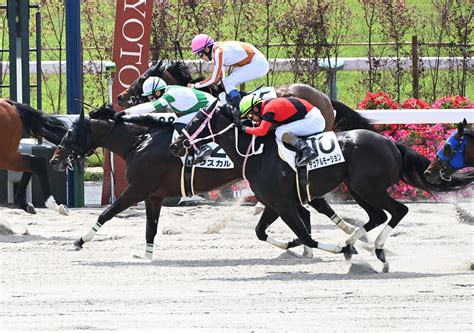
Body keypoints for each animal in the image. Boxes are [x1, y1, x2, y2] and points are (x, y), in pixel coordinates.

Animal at [51, 105, 356, 258]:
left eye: (69, 134)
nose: (54, 159)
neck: (141, 141)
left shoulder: (137, 189)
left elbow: (106, 213)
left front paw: (80, 240)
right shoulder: (153, 195)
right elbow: (150, 228)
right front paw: (146, 255)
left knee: (307, 208)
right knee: (308, 207)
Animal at [169, 105, 470, 272]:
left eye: (194, 122)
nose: (175, 145)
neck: (255, 154)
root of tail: (391, 143)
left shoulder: (284, 205)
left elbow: (307, 235)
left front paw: (336, 249)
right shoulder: (274, 204)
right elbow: (261, 232)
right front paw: (292, 244)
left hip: (368, 187)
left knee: (397, 211)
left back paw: (376, 250)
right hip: (358, 188)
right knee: (377, 216)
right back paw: (356, 242)